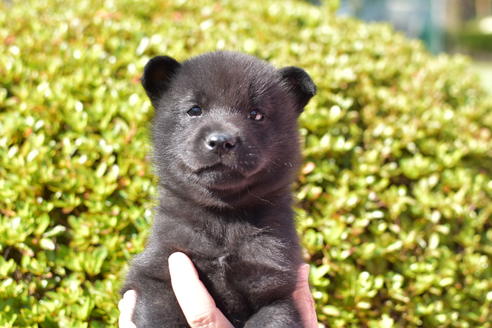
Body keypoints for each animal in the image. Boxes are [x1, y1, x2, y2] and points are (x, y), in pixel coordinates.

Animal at [122, 51, 316, 328]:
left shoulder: (275, 292)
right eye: (194, 110)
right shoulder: (158, 273)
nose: (222, 141)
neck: (224, 221)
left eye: (256, 114)